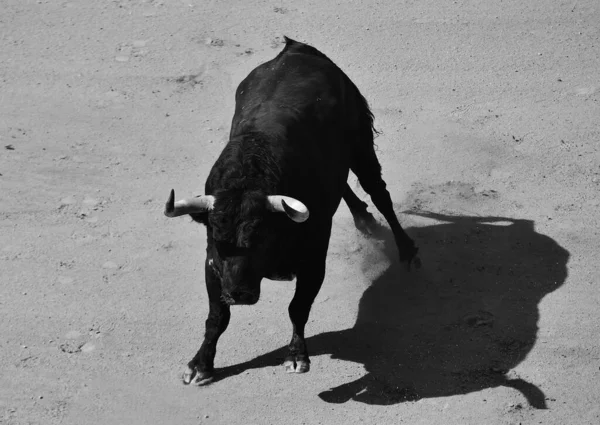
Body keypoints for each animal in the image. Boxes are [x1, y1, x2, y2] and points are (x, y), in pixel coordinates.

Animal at [162, 38, 420, 386]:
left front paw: (297, 356)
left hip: (360, 143)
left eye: (260, 237)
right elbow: (217, 316)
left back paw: (406, 250)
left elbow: (297, 307)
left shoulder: (313, 259)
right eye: (216, 238)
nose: (239, 294)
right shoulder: (213, 265)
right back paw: (363, 220)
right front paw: (200, 364)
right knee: (346, 186)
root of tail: (296, 49)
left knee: (379, 193)